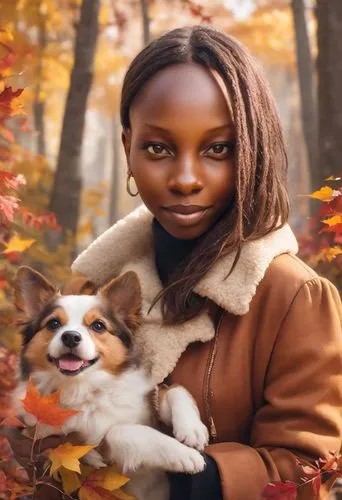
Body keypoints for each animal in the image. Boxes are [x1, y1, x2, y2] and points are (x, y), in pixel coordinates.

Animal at [12, 268, 208, 498]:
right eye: (53, 323)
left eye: (98, 325)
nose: (70, 337)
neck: (86, 389)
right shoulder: (83, 445)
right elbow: (118, 431)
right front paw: (183, 454)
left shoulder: (148, 400)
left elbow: (174, 391)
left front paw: (192, 429)